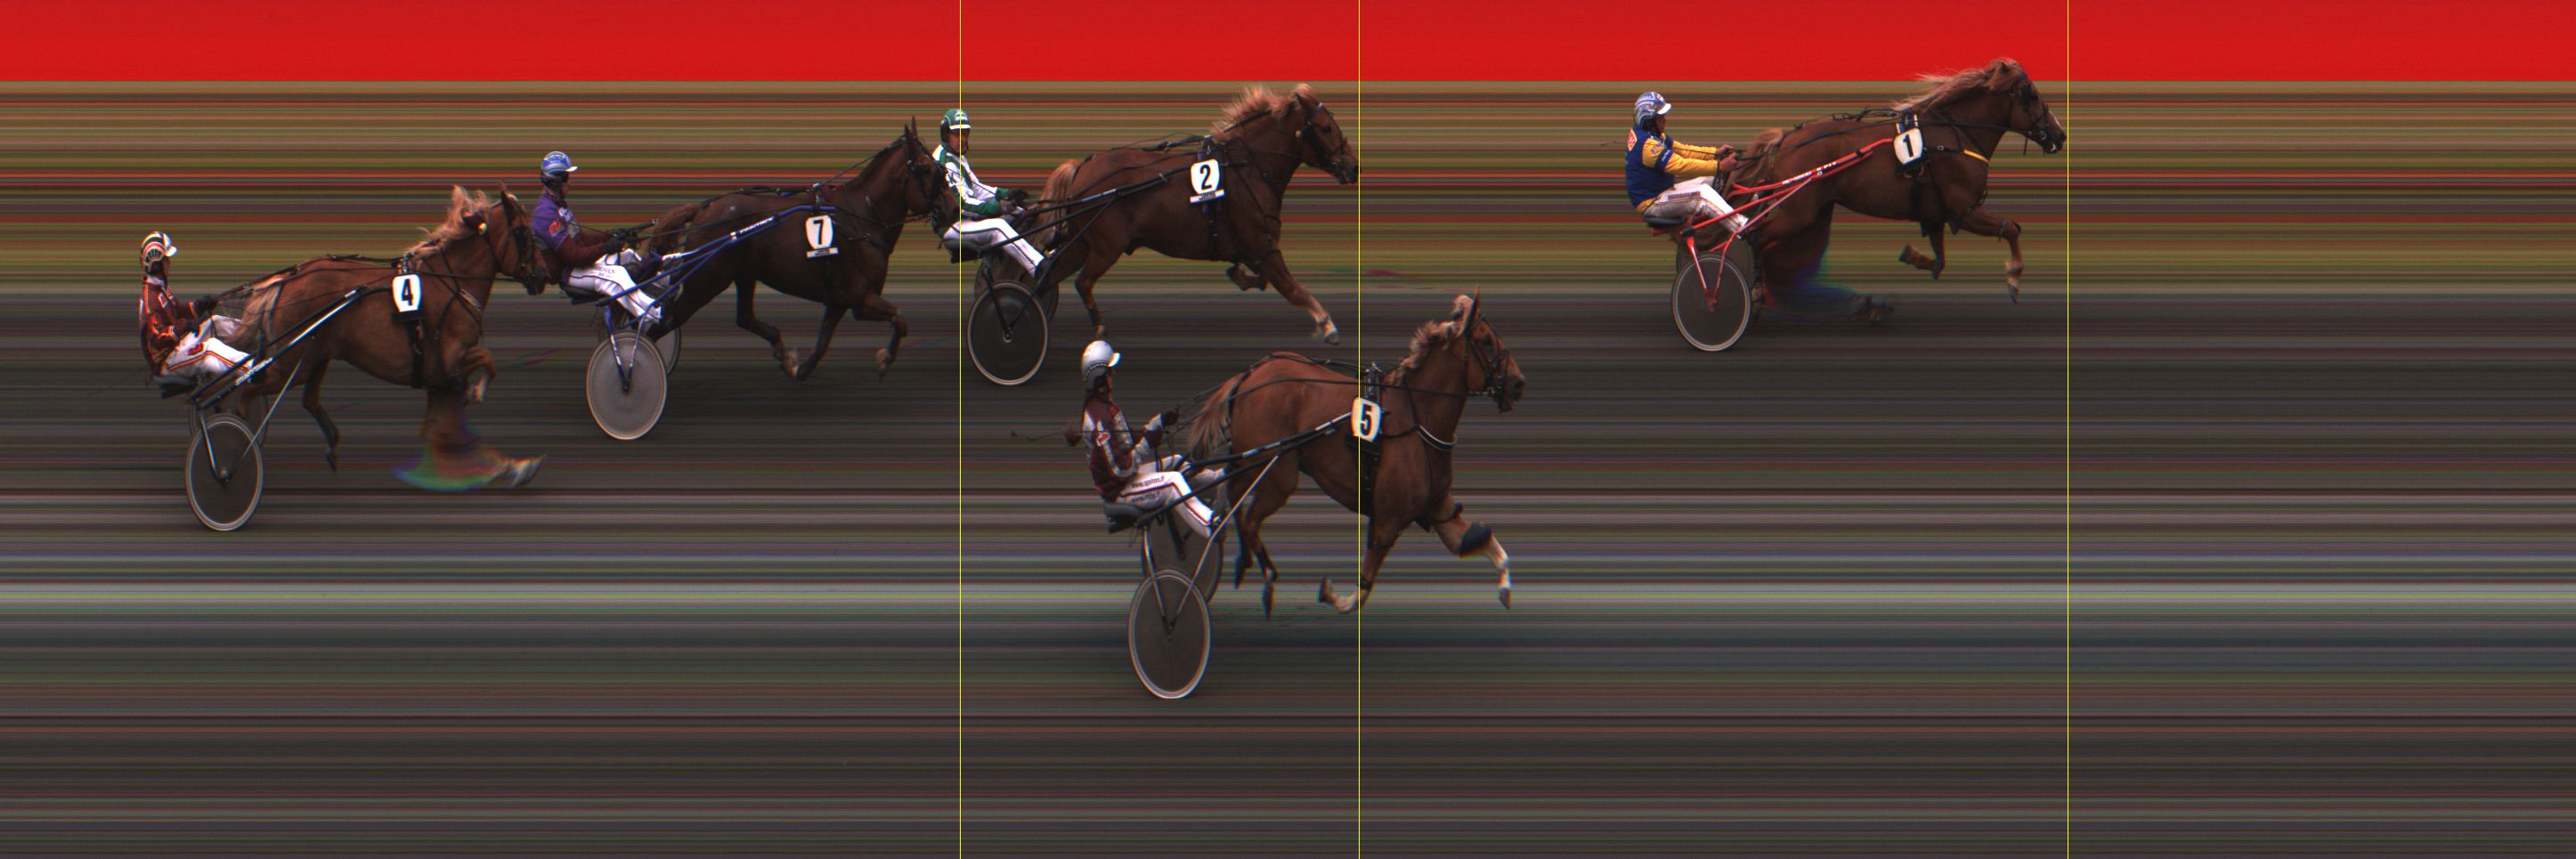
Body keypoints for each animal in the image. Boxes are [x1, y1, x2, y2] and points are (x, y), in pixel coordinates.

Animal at [229, 186, 550, 487]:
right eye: (523, 232)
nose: (543, 274)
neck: (451, 284)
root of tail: (286, 280)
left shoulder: (439, 380)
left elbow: (444, 430)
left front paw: (512, 465)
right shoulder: (451, 361)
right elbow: (486, 363)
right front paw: (481, 399)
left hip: (315, 355)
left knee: (307, 399)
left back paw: (329, 446)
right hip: (291, 365)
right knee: (245, 393)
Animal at [641, 123, 944, 380]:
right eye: (927, 169)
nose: (951, 208)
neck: (862, 217)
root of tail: (705, 209)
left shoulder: (840, 298)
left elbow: (823, 342)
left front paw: (797, 367)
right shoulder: (861, 298)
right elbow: (899, 319)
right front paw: (885, 359)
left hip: (743, 274)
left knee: (744, 318)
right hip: (705, 281)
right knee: (661, 325)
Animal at [1025, 83, 1359, 344]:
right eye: (1326, 128)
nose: (1353, 166)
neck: (1248, 167)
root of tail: (1082, 168)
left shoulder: (1257, 248)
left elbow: (1262, 279)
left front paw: (1239, 275)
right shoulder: (1263, 247)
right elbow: (1293, 288)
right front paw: (1326, 323)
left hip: (1083, 244)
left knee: (1048, 277)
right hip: (1105, 247)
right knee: (1081, 282)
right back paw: (1096, 327)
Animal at [1175, 294, 1527, 616]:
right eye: (1486, 341)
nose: (1518, 383)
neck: (1417, 417)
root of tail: (1251, 374)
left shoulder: (1438, 509)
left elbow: (1482, 543)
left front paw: (1506, 590)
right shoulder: (1388, 519)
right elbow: (1361, 589)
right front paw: (1331, 593)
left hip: (1251, 464)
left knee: (1234, 502)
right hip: (1277, 474)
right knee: (1248, 520)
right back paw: (1267, 577)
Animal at [1729, 58, 2066, 304]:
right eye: (2032, 95)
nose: (2060, 135)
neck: (1956, 135)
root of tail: (1784, 141)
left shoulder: (1936, 213)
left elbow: (1939, 261)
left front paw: (1912, 256)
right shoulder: (1964, 210)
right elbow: (2011, 228)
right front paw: (2014, 276)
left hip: (1814, 212)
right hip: (1797, 212)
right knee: (1755, 238)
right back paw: (1754, 292)